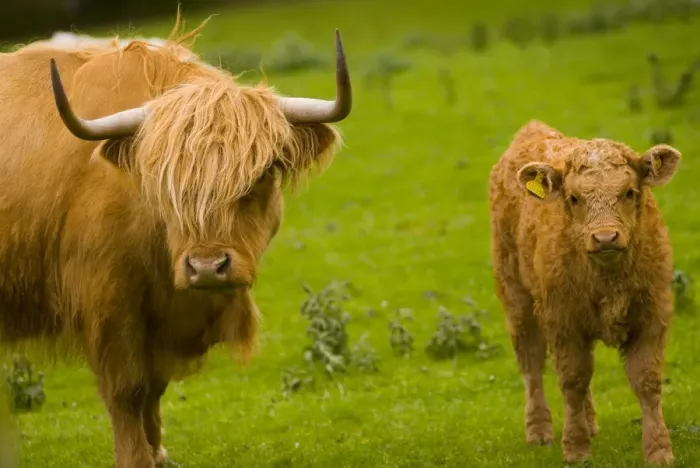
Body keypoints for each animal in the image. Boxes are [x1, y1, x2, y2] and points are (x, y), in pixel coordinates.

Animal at [0, 13, 352, 468]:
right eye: (163, 181)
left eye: (262, 173)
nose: (207, 268)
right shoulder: (107, 302)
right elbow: (128, 391)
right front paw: (136, 458)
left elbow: (154, 388)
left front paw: (159, 454)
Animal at [488, 120, 680, 465]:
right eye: (574, 197)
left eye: (628, 192)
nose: (605, 237)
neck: (608, 281)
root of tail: (532, 129)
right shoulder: (561, 320)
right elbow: (573, 380)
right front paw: (575, 448)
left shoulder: (652, 314)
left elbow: (647, 381)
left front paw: (659, 450)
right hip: (516, 298)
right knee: (531, 364)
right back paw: (539, 430)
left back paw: (589, 422)